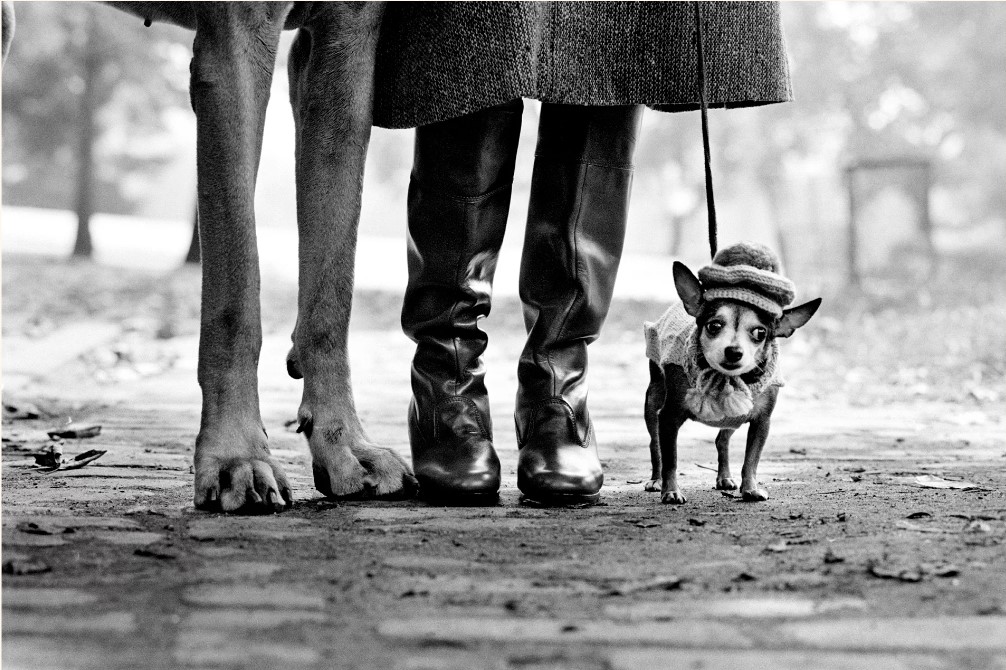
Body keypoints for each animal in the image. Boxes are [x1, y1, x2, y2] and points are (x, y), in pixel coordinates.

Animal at [643, 241, 816, 500]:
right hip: (653, 402)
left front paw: (751, 488)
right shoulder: (669, 417)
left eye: (760, 333)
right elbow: (671, 459)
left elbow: (751, 459)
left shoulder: (761, 422)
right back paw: (656, 480)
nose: (734, 351)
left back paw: (724, 477)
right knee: (656, 446)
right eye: (713, 326)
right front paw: (671, 491)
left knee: (721, 441)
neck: (728, 379)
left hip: (732, 420)